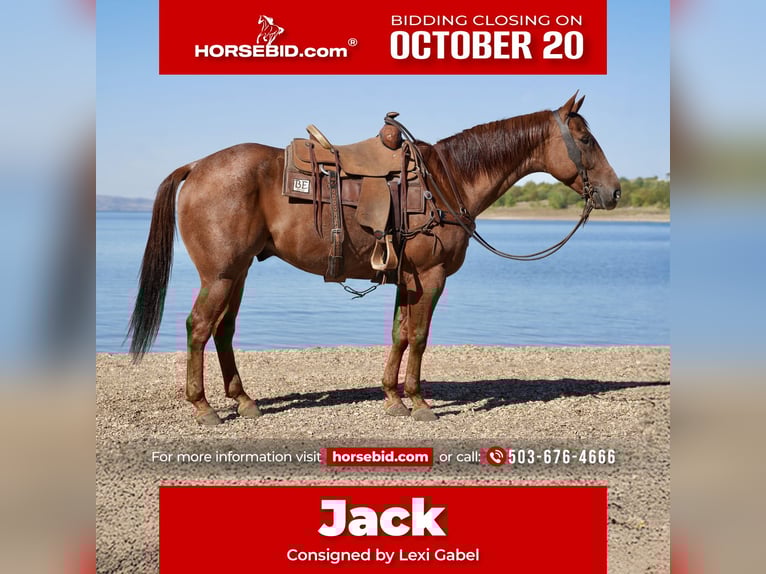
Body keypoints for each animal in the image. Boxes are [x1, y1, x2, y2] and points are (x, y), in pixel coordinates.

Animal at [127, 93, 621, 425]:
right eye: (586, 138)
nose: (614, 192)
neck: (447, 181)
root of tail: (197, 166)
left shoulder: (409, 279)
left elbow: (400, 334)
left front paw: (392, 396)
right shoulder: (431, 277)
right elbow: (418, 337)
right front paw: (419, 402)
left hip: (238, 272)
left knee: (223, 331)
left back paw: (244, 400)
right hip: (221, 274)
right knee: (199, 328)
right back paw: (203, 406)